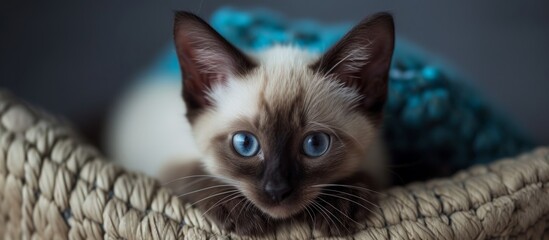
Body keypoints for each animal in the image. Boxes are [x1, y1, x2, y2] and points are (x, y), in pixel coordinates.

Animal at [162, 11, 394, 236]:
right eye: (245, 143)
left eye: (316, 144)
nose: (277, 190)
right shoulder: (168, 163)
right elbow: (195, 173)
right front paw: (242, 215)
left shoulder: (378, 164)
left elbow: (364, 176)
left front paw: (339, 204)